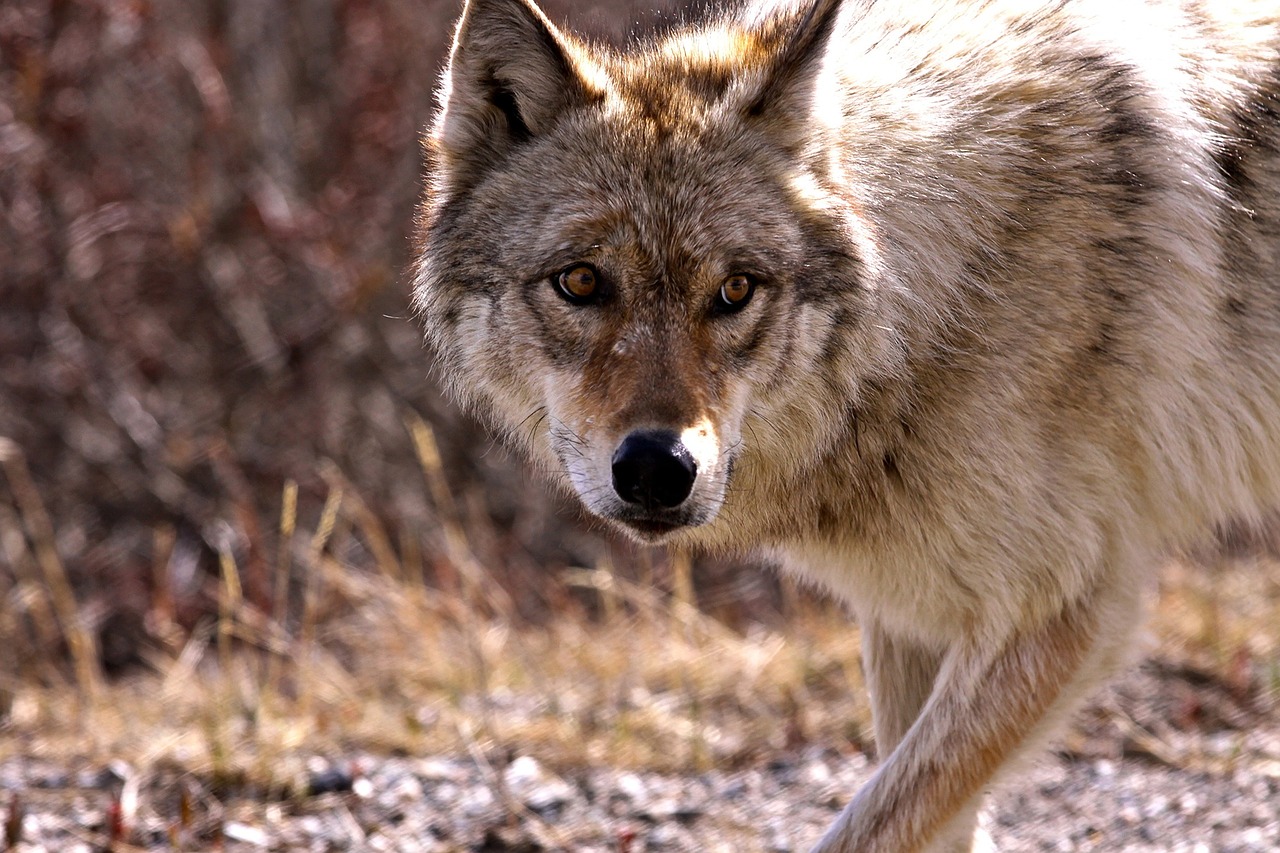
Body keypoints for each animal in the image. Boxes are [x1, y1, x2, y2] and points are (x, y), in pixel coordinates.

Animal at [414, 0, 1280, 845]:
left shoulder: (1061, 613)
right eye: (582, 281)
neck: (935, 301)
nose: (659, 469)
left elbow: (872, 827)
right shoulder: (913, 615)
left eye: (736, 290)